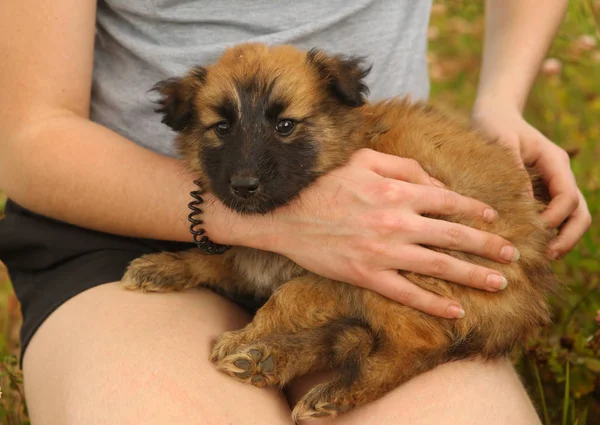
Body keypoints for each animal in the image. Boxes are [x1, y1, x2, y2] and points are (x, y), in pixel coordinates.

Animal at [122, 43, 556, 420]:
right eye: (222, 127)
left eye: (285, 125)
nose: (244, 186)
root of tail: (528, 304)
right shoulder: (257, 260)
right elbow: (219, 260)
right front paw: (166, 266)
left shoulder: (344, 274)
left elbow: (287, 298)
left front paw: (246, 334)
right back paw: (270, 359)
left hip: (410, 266)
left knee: (421, 345)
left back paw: (335, 389)